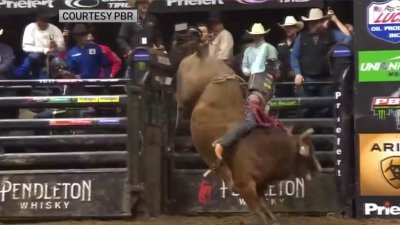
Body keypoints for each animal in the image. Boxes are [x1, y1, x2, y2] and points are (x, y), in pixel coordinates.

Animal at [175, 28, 322, 225]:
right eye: (307, 152)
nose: (319, 169)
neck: (267, 148)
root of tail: (206, 57)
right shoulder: (245, 185)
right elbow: (259, 211)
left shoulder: (261, 186)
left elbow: (266, 208)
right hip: (188, 89)